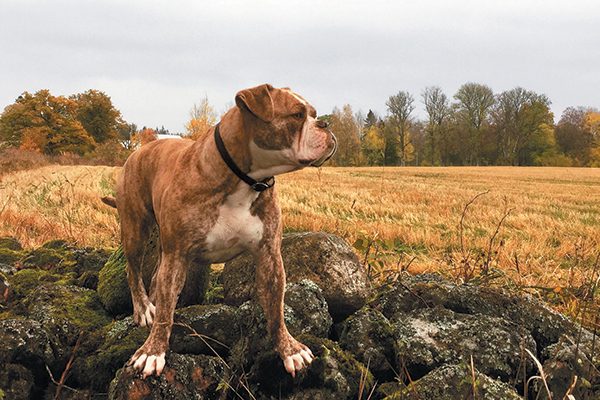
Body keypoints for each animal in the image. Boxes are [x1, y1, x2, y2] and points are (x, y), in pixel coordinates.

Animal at [105, 84, 336, 378]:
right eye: (297, 115)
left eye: (314, 114)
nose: (326, 124)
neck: (244, 180)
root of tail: (138, 150)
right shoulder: (177, 255)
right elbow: (166, 312)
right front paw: (152, 352)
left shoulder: (270, 255)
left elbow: (276, 310)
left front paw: (289, 349)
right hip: (136, 229)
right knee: (133, 271)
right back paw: (145, 309)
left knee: (155, 277)